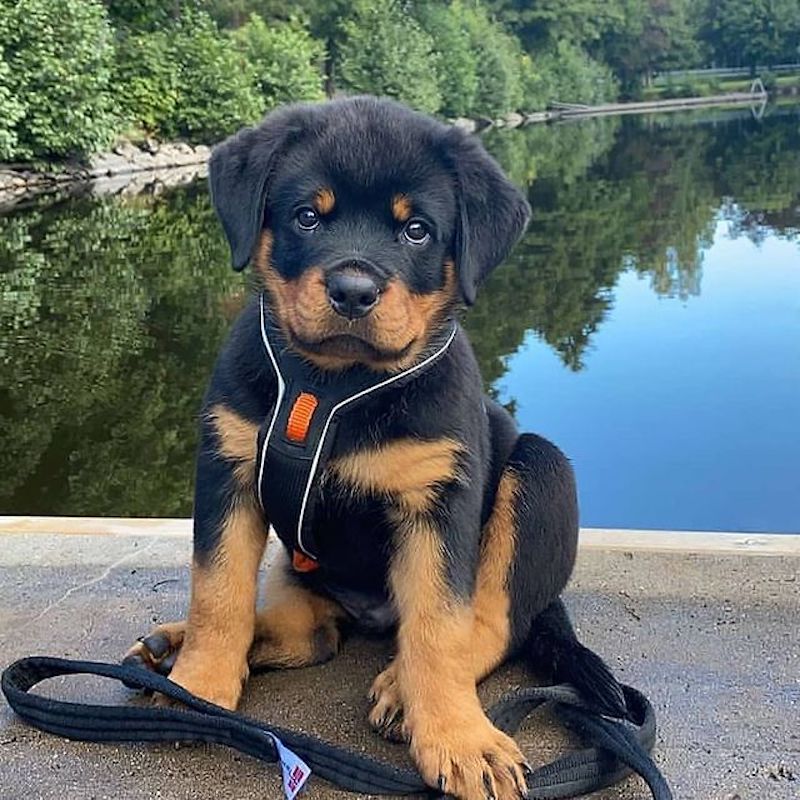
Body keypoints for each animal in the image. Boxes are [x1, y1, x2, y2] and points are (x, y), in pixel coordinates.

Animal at [125, 95, 624, 800]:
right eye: (307, 215)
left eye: (416, 230)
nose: (354, 291)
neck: (333, 386)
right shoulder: (226, 467)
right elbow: (217, 591)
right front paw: (197, 688)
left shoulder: (438, 500)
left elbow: (440, 627)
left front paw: (458, 739)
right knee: (309, 632)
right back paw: (173, 648)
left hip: (541, 469)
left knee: (491, 624)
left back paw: (403, 688)